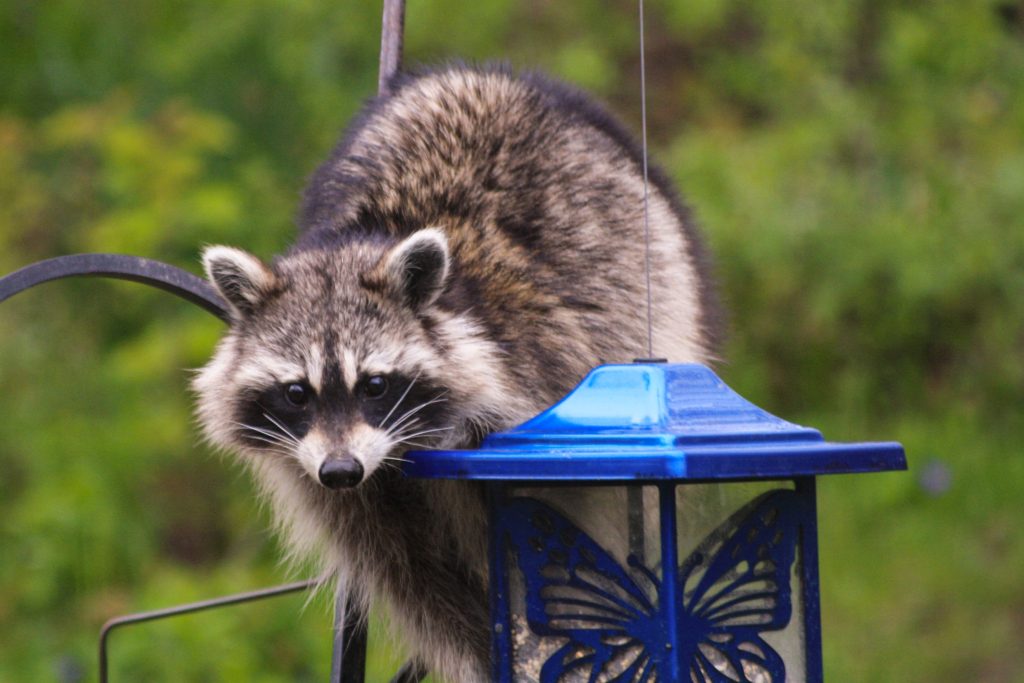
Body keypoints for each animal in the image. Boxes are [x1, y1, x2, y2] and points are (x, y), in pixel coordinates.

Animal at [193, 65, 720, 683]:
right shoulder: (338, 487)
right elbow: (420, 579)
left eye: (375, 385)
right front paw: (487, 653)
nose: (342, 471)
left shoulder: (533, 387)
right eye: (297, 393)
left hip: (659, 275)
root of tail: (494, 76)